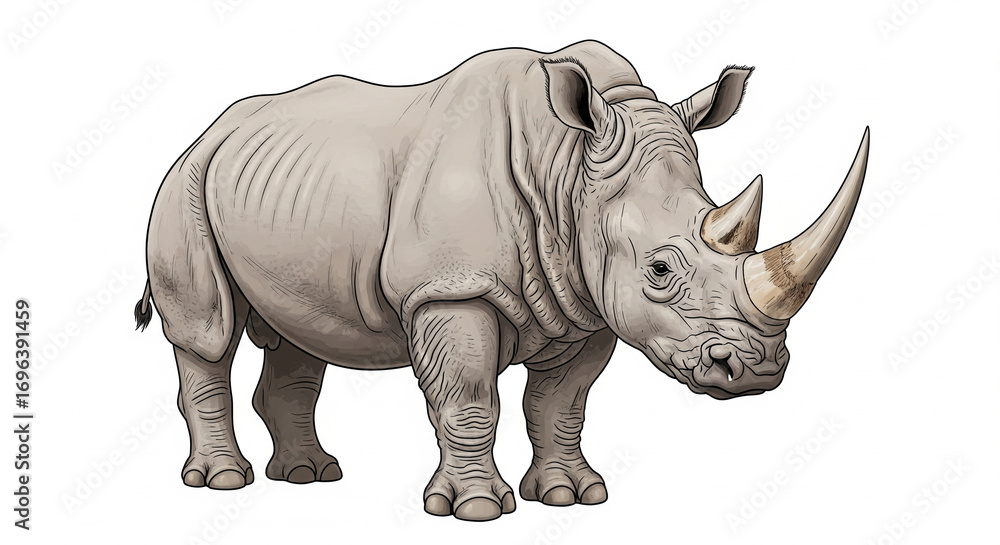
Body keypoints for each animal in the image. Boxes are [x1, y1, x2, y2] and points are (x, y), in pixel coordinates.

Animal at [136, 40, 868, 521]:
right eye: (660, 269)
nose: (756, 370)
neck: (570, 170)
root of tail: (211, 130)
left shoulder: (588, 300)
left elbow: (562, 404)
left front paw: (572, 496)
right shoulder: (450, 288)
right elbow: (467, 397)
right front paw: (477, 509)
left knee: (298, 337)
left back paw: (309, 478)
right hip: (185, 181)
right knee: (205, 332)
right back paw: (224, 483)